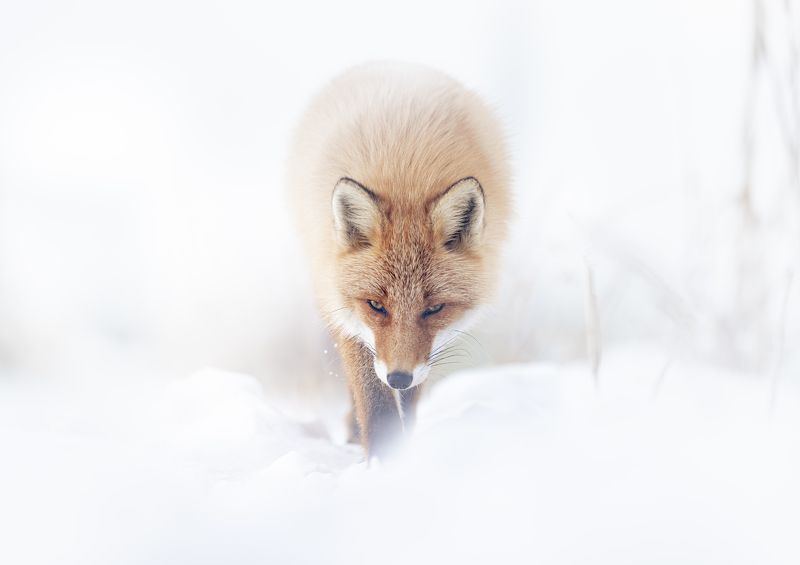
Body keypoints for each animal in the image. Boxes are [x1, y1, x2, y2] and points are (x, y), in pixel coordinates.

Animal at [287, 62, 510, 457]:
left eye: (434, 309)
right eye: (376, 305)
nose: (399, 377)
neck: (406, 179)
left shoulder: (423, 352)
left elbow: (406, 401)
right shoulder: (347, 313)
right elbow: (373, 398)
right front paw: (381, 458)